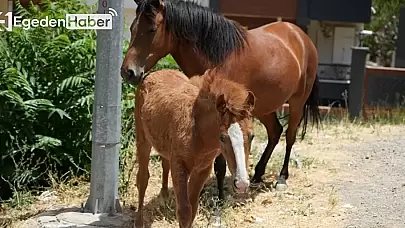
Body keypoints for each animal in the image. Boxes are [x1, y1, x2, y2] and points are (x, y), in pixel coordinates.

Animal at [121, 0, 320, 200]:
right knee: (275, 132)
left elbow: (221, 160)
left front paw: (221, 196)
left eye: (152, 29)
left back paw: (282, 178)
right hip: (263, 107)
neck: (217, 58)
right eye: (132, 28)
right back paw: (257, 175)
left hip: (297, 102)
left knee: (290, 136)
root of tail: (300, 35)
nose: (128, 72)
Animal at [134, 69, 254, 228]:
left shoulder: (202, 170)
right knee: (142, 179)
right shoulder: (179, 166)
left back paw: (164, 197)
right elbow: (184, 211)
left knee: (164, 162)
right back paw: (139, 221)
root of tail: (155, 72)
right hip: (142, 140)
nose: (241, 184)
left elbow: (193, 208)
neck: (196, 130)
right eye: (222, 137)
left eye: (252, 136)